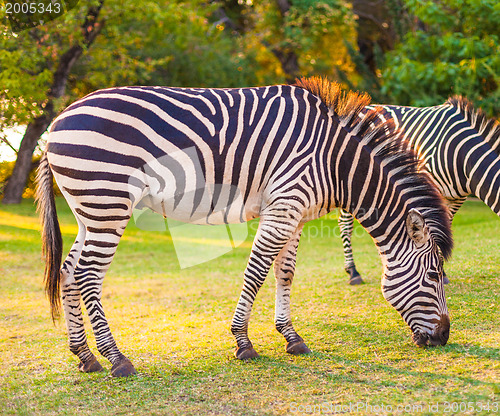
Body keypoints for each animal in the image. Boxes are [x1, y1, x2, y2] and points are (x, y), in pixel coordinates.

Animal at [37, 75, 454, 376]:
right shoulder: (284, 204)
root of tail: (56, 123)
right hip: (108, 200)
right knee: (89, 275)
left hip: (90, 210)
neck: (334, 160)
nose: (444, 337)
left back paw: (85, 357)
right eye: (435, 276)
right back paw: (117, 359)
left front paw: (291, 337)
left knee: (69, 271)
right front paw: (243, 342)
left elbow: (285, 273)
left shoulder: (295, 212)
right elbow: (256, 272)